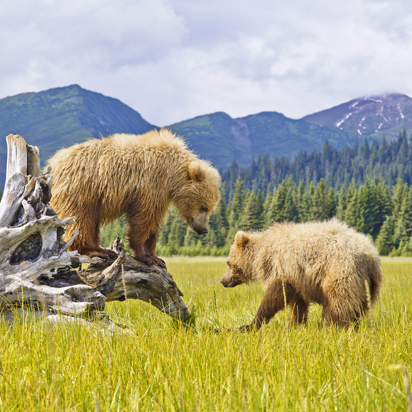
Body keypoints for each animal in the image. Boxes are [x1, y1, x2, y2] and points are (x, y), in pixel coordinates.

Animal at [47, 128, 222, 268]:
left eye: (212, 209)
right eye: (204, 206)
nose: (204, 229)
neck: (171, 175)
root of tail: (52, 162)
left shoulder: (161, 195)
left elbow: (153, 223)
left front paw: (157, 257)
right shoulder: (149, 185)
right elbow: (142, 219)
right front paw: (145, 256)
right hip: (81, 188)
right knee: (80, 219)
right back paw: (97, 251)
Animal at [222, 220, 384, 330]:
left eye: (228, 262)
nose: (222, 280)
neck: (262, 253)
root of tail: (371, 256)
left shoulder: (282, 266)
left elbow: (275, 295)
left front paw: (252, 323)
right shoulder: (298, 278)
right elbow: (297, 303)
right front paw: (296, 324)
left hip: (340, 270)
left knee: (338, 301)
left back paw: (329, 326)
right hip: (365, 284)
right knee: (358, 307)